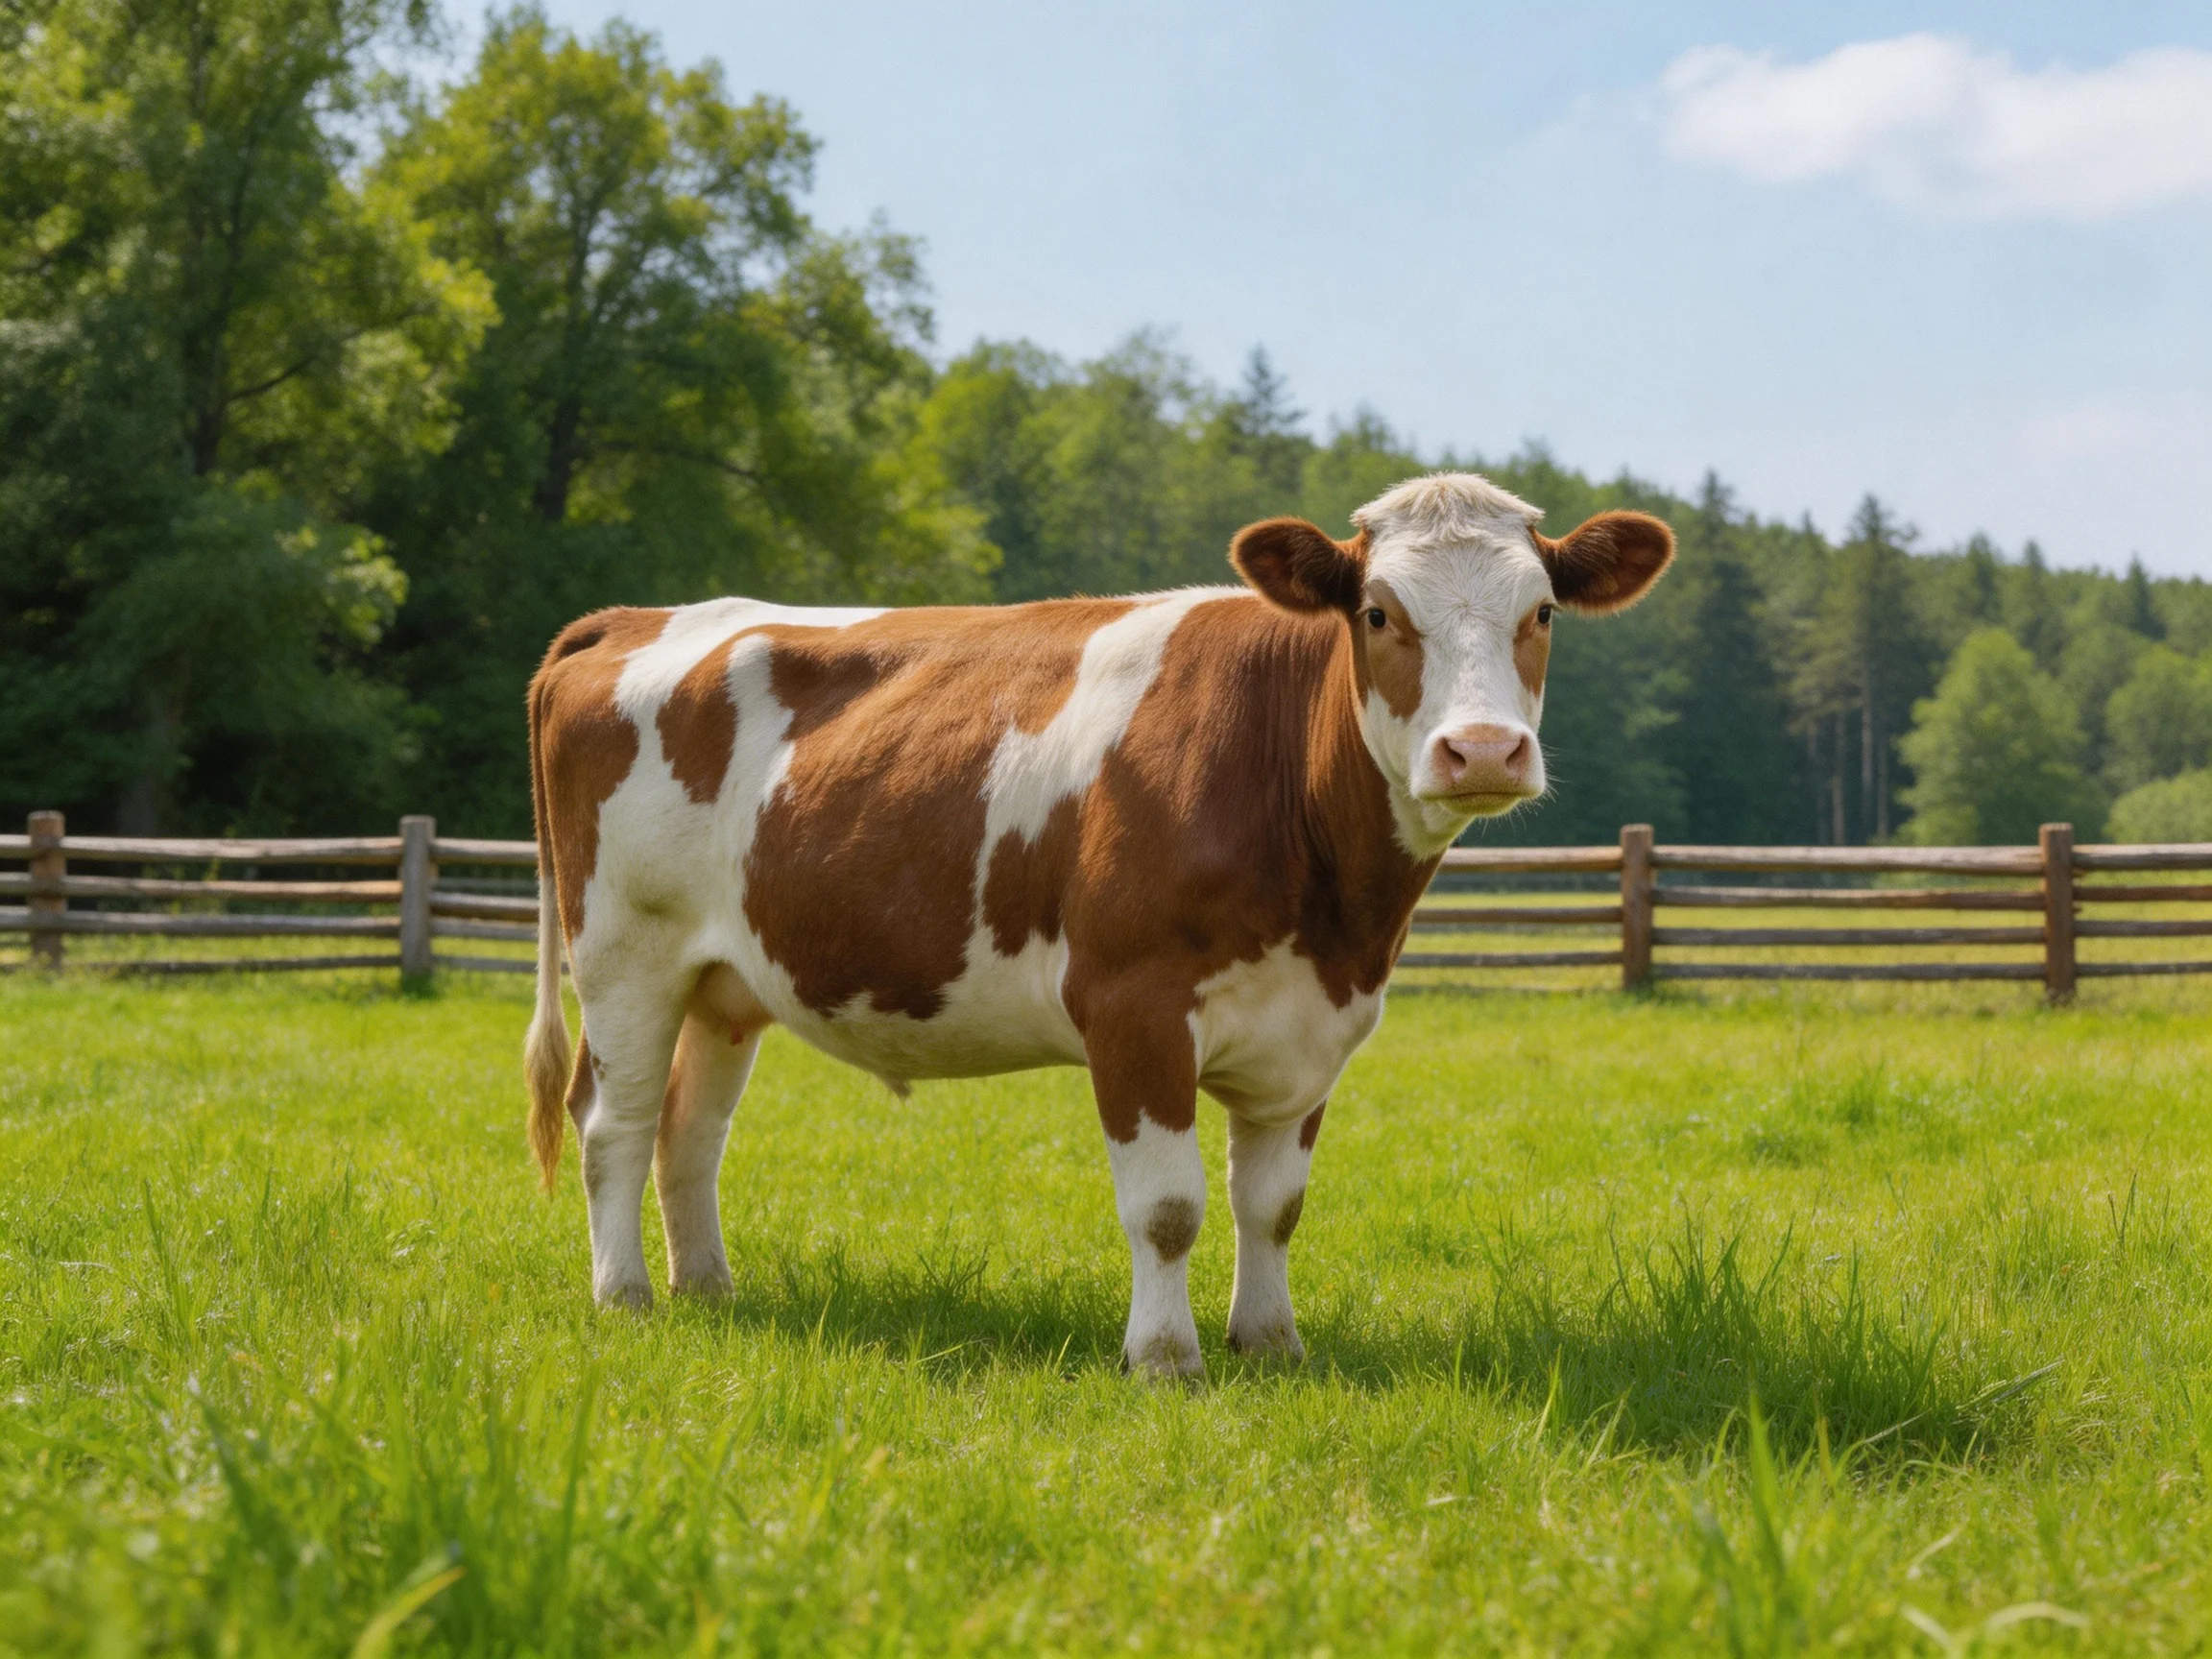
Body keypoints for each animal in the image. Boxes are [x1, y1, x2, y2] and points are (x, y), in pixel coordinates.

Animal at [522, 472, 1672, 1375]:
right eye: (1381, 614)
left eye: (1543, 613)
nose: (1481, 750)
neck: (1336, 912)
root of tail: (635, 617)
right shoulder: (1132, 1005)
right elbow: (1166, 1208)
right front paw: (1165, 1359)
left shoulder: (1313, 1030)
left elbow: (1273, 1205)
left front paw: (1272, 1346)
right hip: (624, 952)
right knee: (612, 1121)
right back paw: (624, 1295)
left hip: (725, 982)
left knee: (689, 1130)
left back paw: (708, 1290)